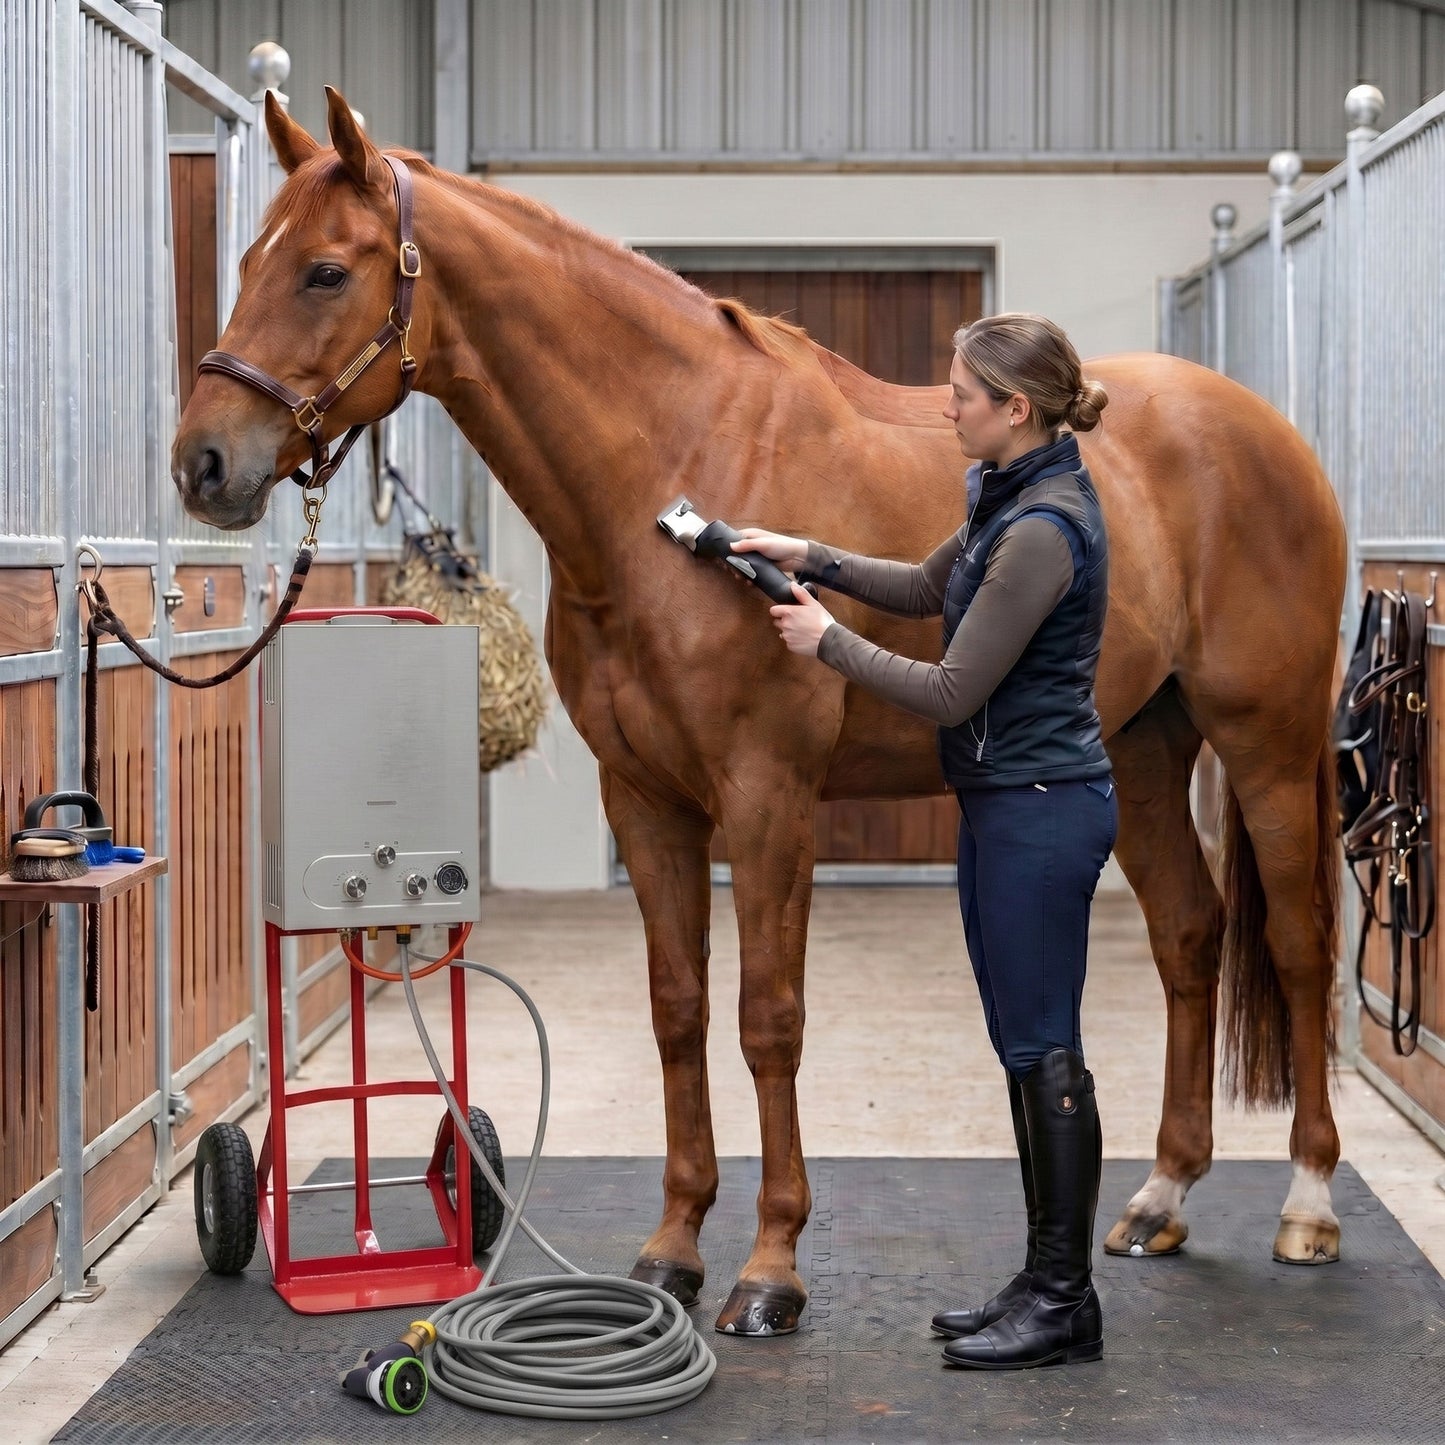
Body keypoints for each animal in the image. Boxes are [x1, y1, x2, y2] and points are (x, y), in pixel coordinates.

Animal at [172, 89, 1346, 1337]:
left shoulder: (767, 794)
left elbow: (767, 1015)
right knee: (1187, 934)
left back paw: (1307, 1203)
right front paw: (672, 1247)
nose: (202, 463)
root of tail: (1270, 437)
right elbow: (679, 1009)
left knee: (1296, 943)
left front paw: (770, 1266)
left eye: (324, 271)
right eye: (249, 261)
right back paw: (1160, 1195)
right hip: (1139, 747)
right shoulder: (645, 799)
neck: (675, 461)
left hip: (1263, 742)